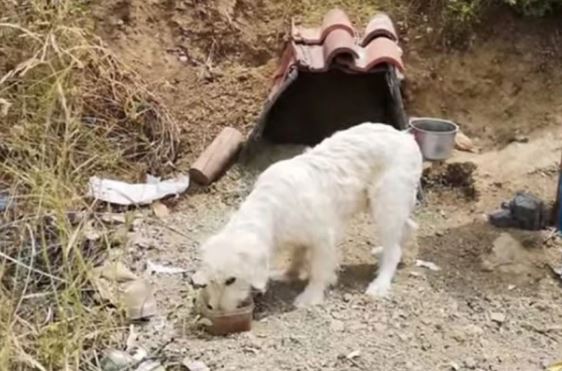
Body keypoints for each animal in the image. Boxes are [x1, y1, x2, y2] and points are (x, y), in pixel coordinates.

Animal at [191, 123, 420, 310]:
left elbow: (319, 271)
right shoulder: (297, 235)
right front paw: (288, 274)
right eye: (211, 280)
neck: (272, 208)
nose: (215, 308)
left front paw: (310, 297)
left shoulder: (323, 238)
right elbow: (298, 254)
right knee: (407, 228)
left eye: (231, 280)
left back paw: (380, 284)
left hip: (386, 203)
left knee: (394, 250)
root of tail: (405, 136)